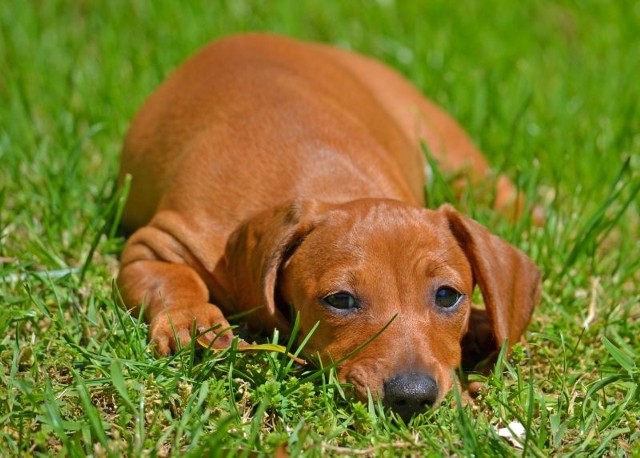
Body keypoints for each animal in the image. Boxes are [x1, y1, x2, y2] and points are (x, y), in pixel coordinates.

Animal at [116, 33, 540, 422]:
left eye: (448, 295)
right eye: (340, 300)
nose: (413, 397)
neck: (332, 183)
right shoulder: (158, 245)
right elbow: (174, 278)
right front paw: (192, 321)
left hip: (448, 150)